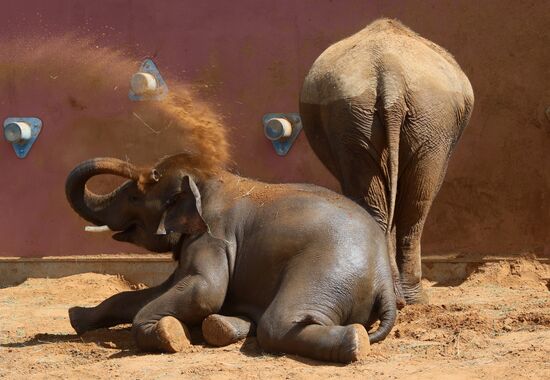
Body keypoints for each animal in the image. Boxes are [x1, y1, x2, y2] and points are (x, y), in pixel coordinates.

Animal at [64, 154, 396, 362]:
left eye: (135, 197)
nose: (148, 171)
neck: (208, 179)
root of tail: (384, 277)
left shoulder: (213, 237)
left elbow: (204, 291)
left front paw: (169, 334)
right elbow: (159, 291)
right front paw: (76, 317)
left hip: (326, 270)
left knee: (277, 324)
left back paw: (355, 340)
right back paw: (221, 328)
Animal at [300, 18, 476, 306]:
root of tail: (390, 72)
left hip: (413, 117)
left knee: (406, 201)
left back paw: (401, 297)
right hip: (377, 116)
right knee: (411, 204)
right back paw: (412, 298)